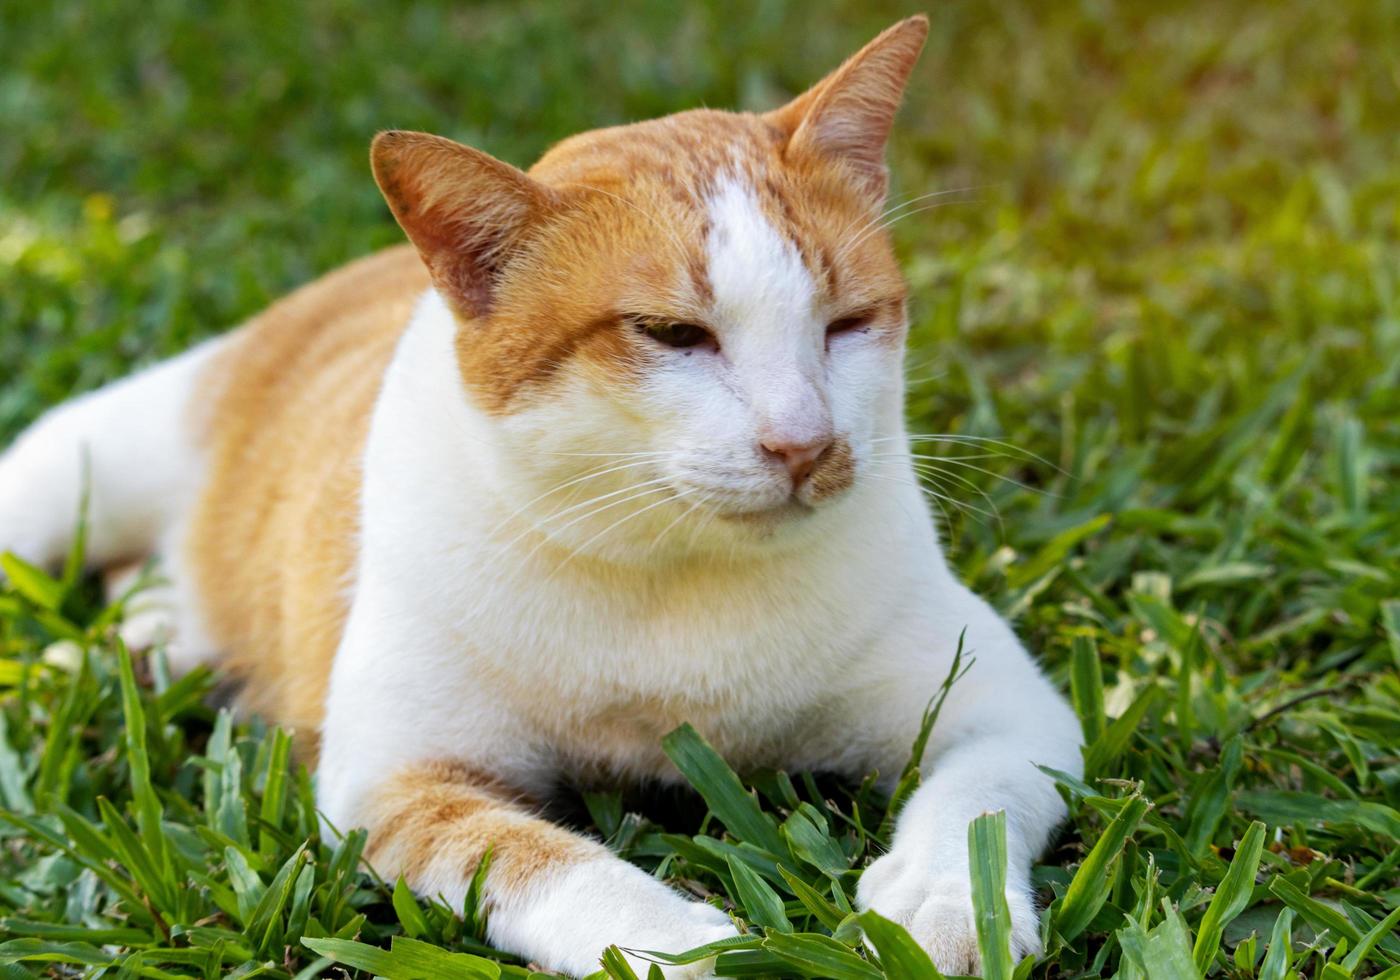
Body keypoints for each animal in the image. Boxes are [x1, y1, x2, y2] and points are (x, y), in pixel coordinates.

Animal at [0, 17, 1080, 980]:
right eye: (671, 334)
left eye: (848, 323)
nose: (805, 445)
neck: (669, 566)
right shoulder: (391, 782)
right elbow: (542, 861)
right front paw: (680, 944)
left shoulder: (1017, 710)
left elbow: (980, 796)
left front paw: (947, 898)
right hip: (79, 469)